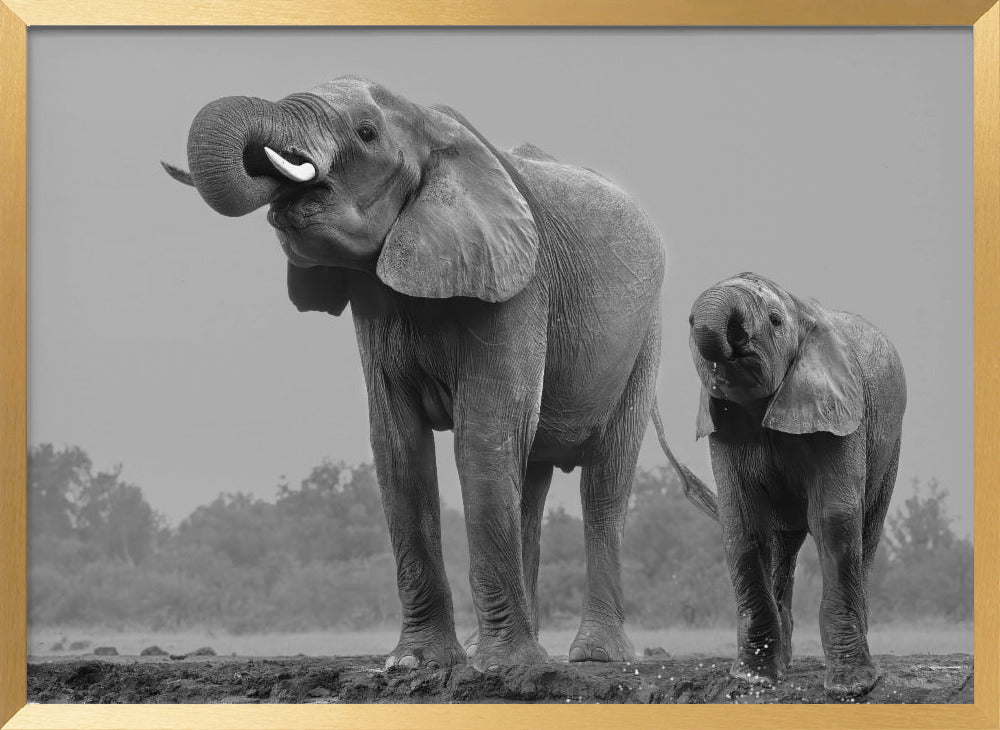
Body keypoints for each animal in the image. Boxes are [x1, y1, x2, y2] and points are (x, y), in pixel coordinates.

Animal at [163, 76, 715, 671]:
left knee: (604, 483)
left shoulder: (518, 285)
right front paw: (420, 663)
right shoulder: (376, 299)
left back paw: (594, 656)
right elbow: (398, 445)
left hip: (645, 340)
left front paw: (503, 669)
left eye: (366, 132)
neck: (432, 127)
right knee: (529, 481)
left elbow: (483, 435)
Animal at [685, 272, 906, 697]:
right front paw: (753, 680)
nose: (735, 337)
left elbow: (833, 520)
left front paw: (852, 688)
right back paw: (782, 662)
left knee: (867, 530)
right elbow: (743, 524)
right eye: (688, 323)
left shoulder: (840, 414)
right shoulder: (724, 425)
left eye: (774, 320)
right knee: (781, 542)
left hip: (890, 445)